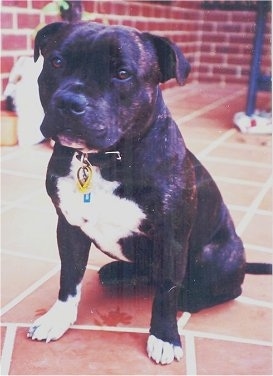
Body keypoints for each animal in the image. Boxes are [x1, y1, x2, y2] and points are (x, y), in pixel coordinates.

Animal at [27, 21, 270, 364]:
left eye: (123, 73)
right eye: (57, 62)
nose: (70, 103)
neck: (106, 160)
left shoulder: (172, 239)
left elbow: (166, 293)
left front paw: (165, 337)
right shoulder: (70, 228)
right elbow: (69, 279)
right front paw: (57, 318)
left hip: (214, 255)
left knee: (218, 290)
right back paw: (120, 273)